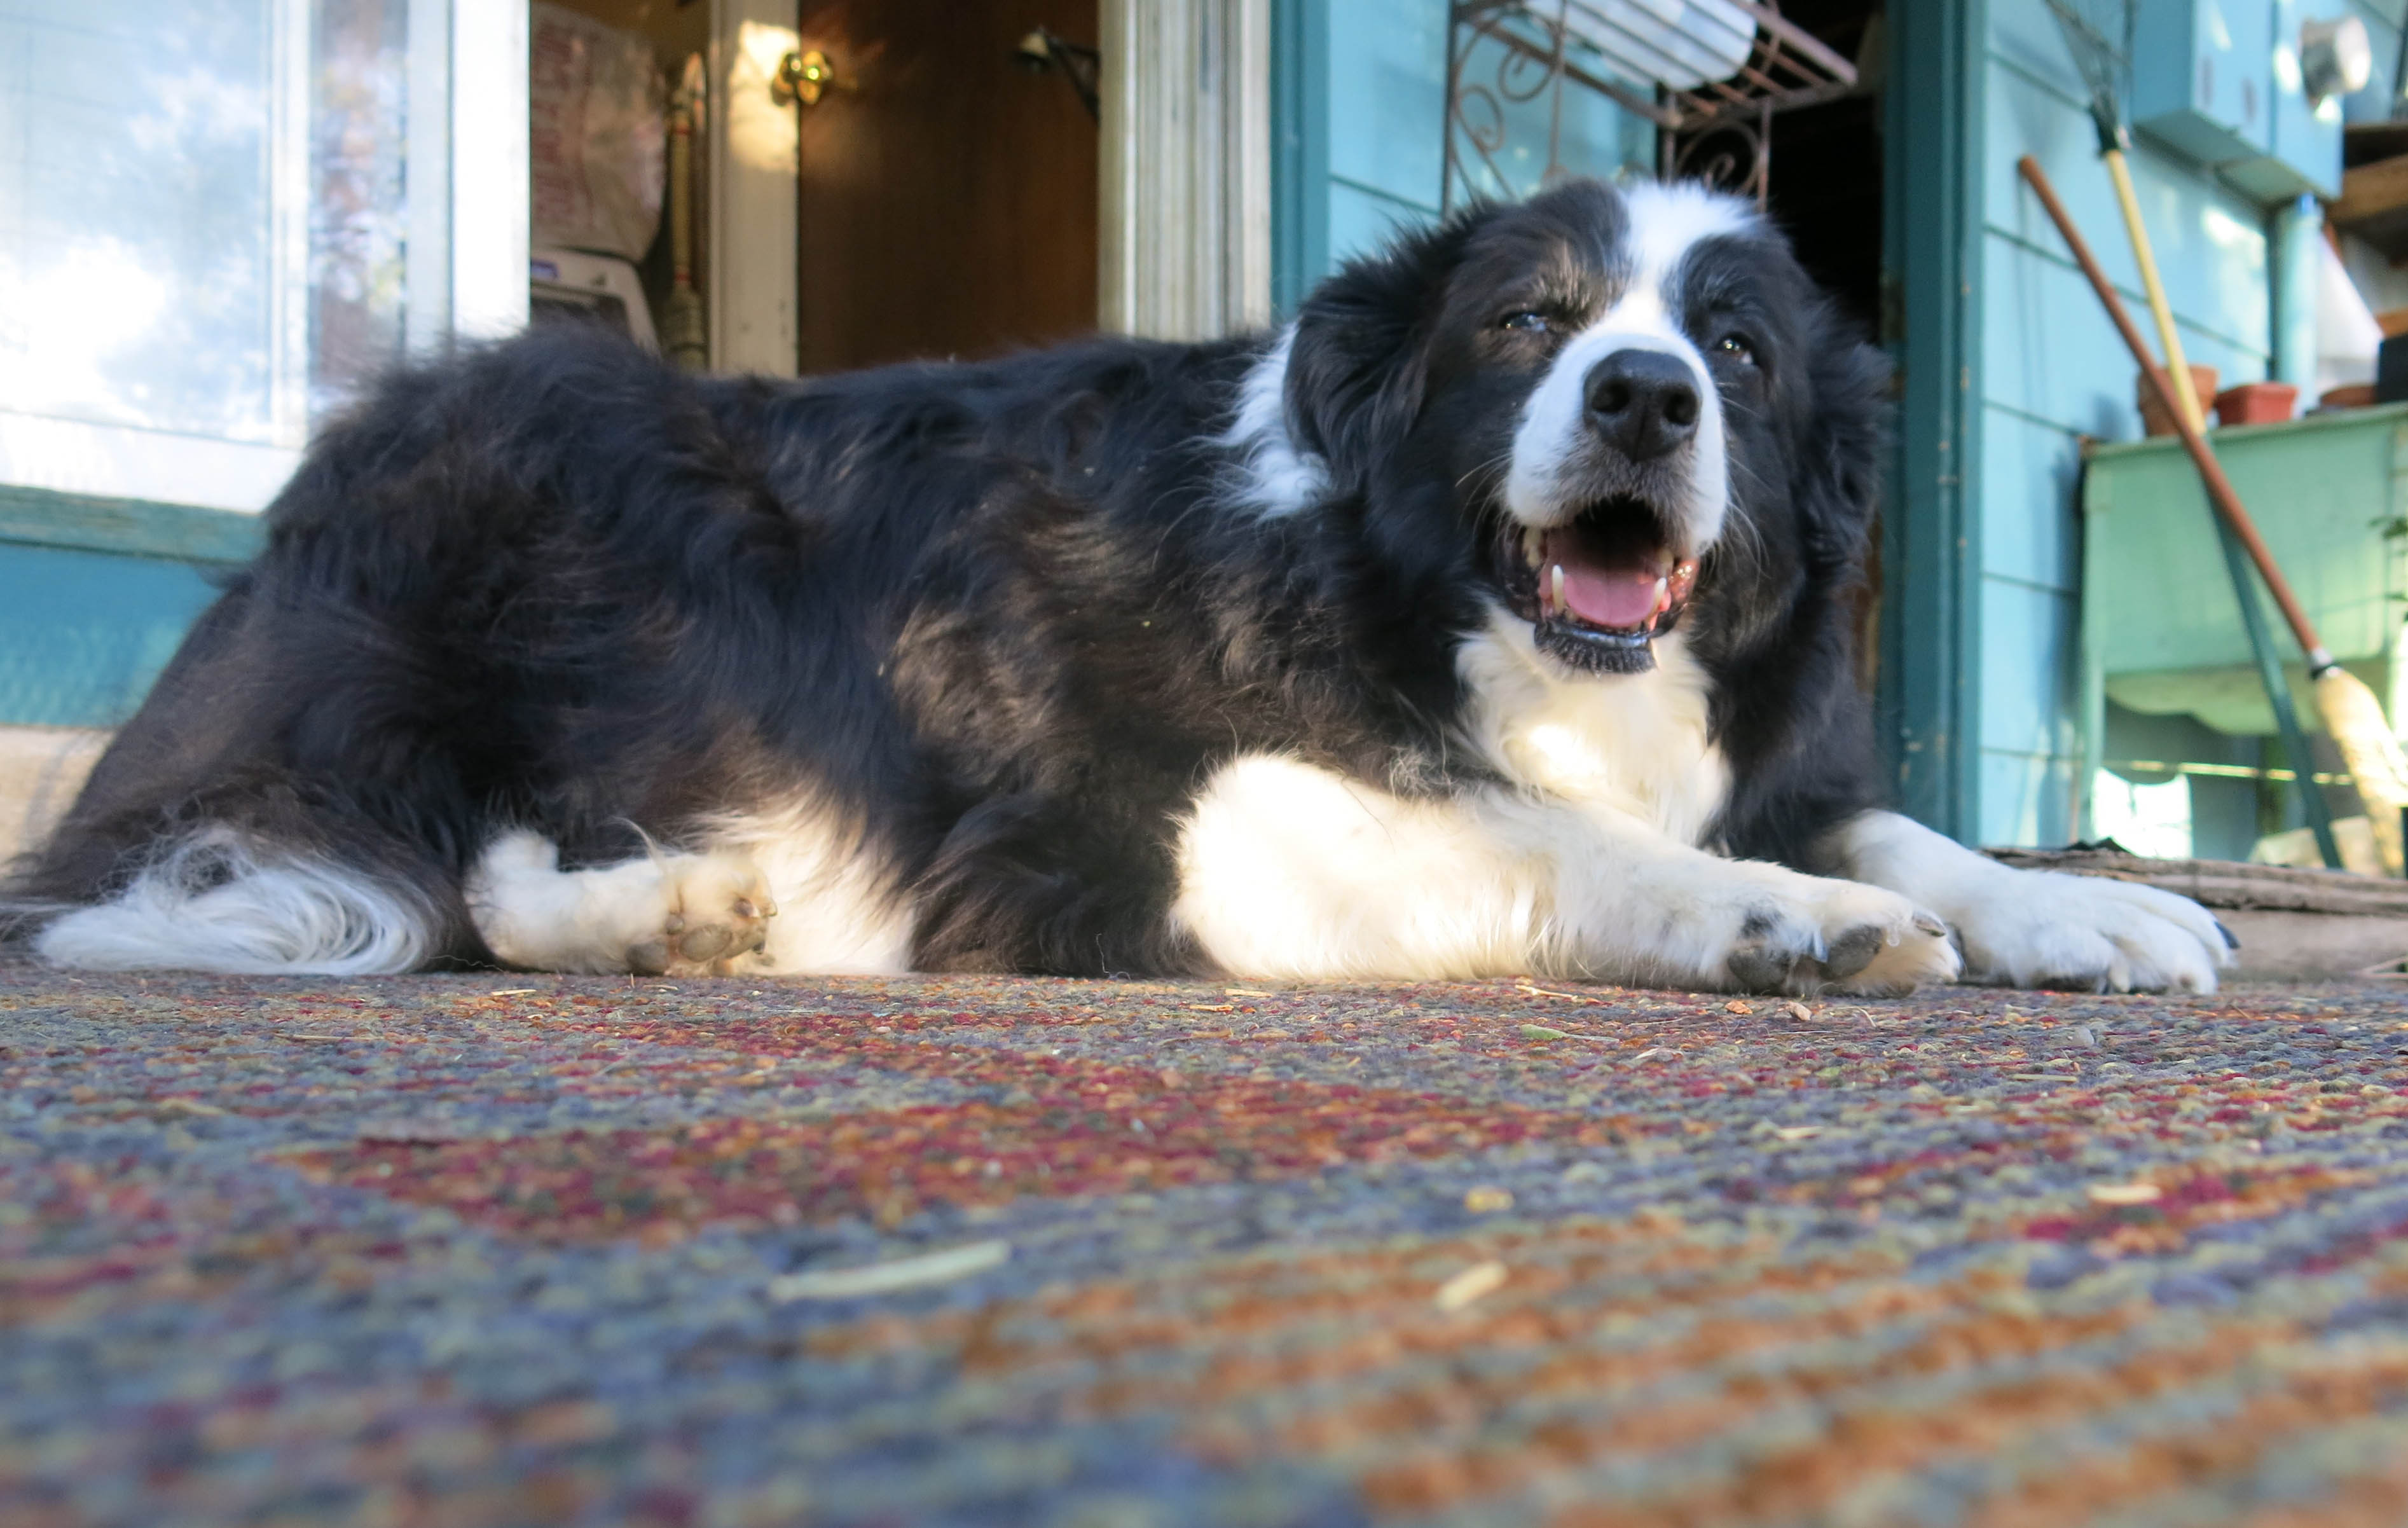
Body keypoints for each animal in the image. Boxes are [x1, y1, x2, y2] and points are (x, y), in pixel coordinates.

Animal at [4, 178, 2231, 993]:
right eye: (1526, 319)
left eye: (1740, 352)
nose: (1640, 396)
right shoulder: (1137, 831)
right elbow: (1540, 837)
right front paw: (1781, 914)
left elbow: (1893, 819)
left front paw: (2082, 908)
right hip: (530, 503)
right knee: (442, 861)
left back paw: (685, 912)